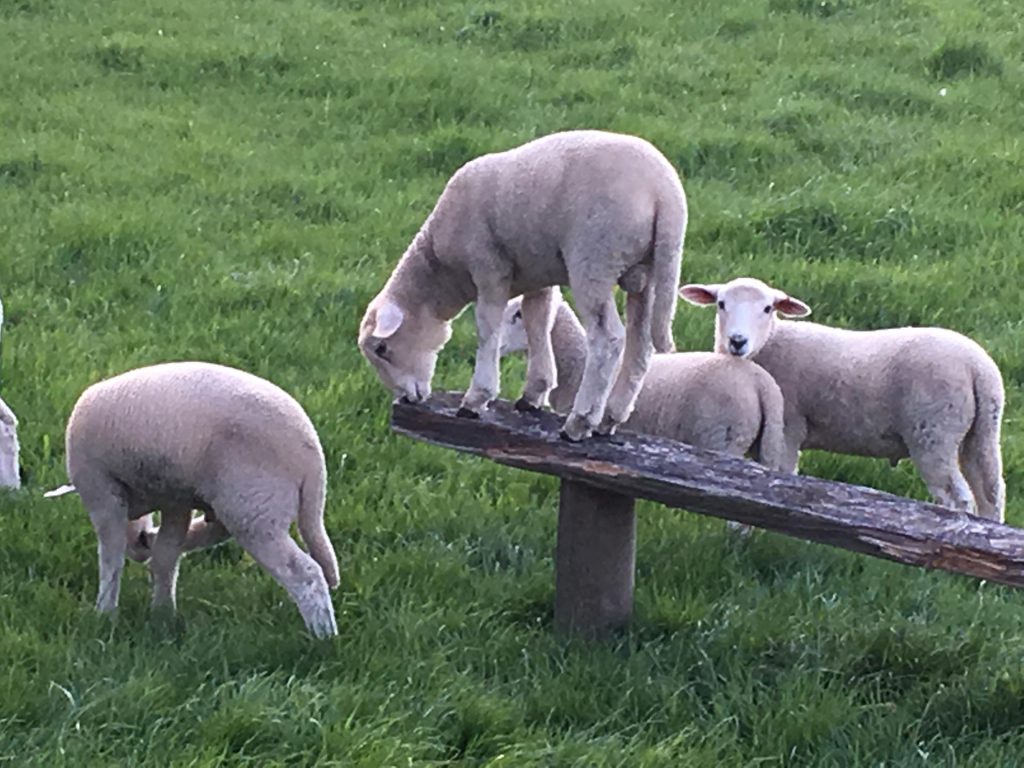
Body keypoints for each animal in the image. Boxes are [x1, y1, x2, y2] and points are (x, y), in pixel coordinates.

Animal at [44, 361, 340, 637]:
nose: (139, 546)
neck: (140, 494)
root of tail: (312, 462)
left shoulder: (101, 489)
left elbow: (111, 557)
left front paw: (105, 613)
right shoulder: (176, 501)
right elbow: (166, 555)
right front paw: (162, 612)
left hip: (253, 507)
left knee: (305, 573)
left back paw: (324, 635)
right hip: (245, 503)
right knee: (214, 532)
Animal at [358, 129, 687, 441]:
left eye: (382, 348)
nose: (406, 398)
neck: (441, 273)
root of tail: (665, 195)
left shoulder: (489, 268)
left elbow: (487, 328)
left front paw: (476, 398)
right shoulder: (538, 277)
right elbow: (537, 323)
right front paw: (534, 392)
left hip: (595, 259)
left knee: (608, 339)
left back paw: (580, 422)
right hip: (647, 274)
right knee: (640, 344)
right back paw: (610, 418)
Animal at [499, 293, 787, 470]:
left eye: (519, 315)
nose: (496, 346)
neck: (578, 365)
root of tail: (762, 383)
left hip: (723, 440)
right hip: (765, 441)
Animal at [680, 277, 1006, 522]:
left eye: (768, 308)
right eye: (721, 304)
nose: (737, 341)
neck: (770, 344)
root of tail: (977, 367)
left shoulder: (787, 428)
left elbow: (780, 478)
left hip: (934, 433)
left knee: (957, 499)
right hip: (981, 432)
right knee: (991, 492)